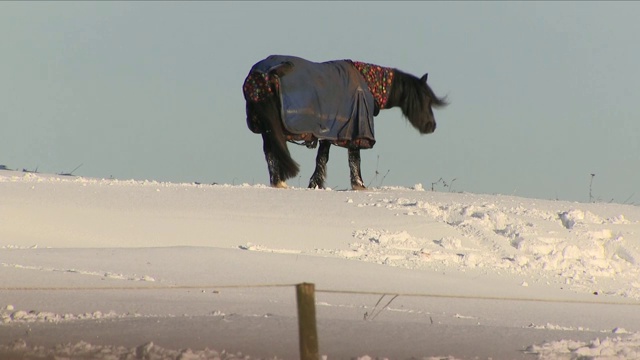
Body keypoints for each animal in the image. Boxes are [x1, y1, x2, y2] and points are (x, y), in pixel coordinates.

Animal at [242, 54, 448, 190]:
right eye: (424, 99)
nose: (431, 126)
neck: (368, 83)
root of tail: (261, 76)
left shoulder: (330, 131)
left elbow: (322, 158)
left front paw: (315, 184)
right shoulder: (354, 130)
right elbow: (351, 158)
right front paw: (359, 186)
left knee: (270, 154)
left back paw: (278, 183)